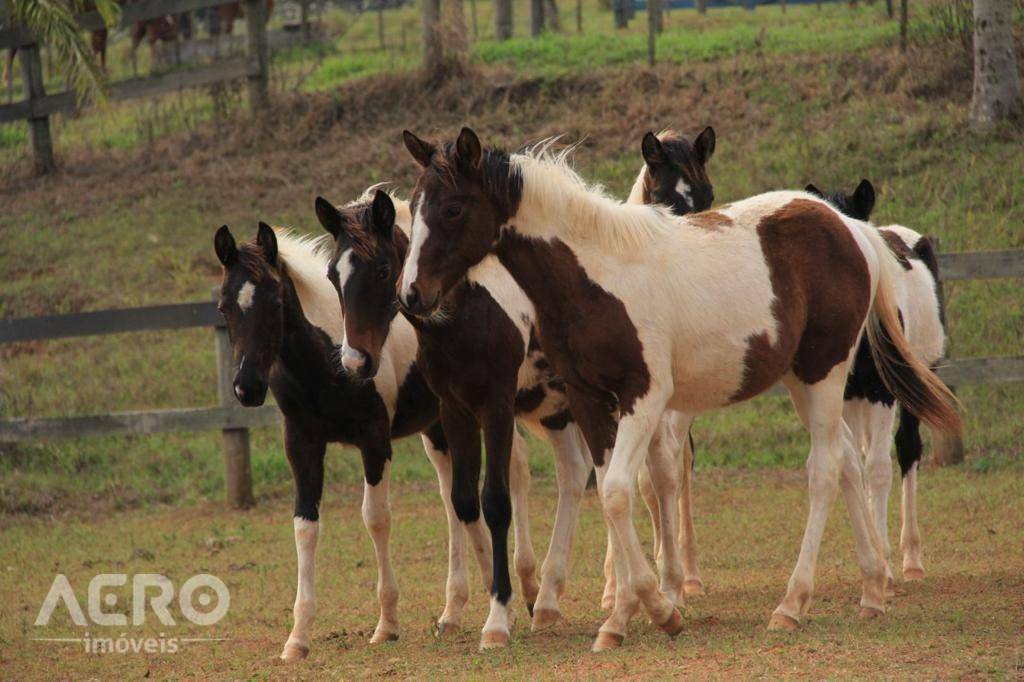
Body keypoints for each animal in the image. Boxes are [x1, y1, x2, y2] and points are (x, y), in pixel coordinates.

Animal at [217, 223, 499, 659]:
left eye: (276, 302)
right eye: (223, 307)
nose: (247, 388)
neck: (327, 361)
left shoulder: (375, 440)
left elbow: (376, 518)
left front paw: (387, 625)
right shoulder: (301, 444)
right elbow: (305, 526)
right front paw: (297, 638)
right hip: (437, 430)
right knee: (453, 499)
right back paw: (452, 614)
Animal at [802, 178, 946, 581]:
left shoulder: (884, 393)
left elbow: (880, 469)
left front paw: (884, 560)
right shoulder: (844, 395)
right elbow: (855, 465)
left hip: (918, 380)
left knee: (908, 449)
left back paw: (911, 558)